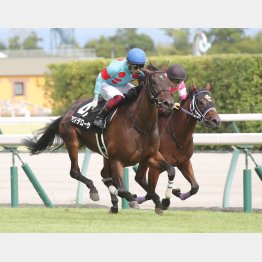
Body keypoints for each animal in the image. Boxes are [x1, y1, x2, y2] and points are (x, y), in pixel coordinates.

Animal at [22, 66, 176, 214]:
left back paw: (114, 204)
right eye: (154, 82)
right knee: (75, 172)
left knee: (104, 175)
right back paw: (94, 191)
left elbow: (170, 171)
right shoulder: (117, 159)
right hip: (73, 142)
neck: (139, 125)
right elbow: (122, 189)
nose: (168, 103)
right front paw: (133, 199)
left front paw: (163, 201)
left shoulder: (150, 156)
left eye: (169, 83)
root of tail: (66, 113)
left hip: (103, 153)